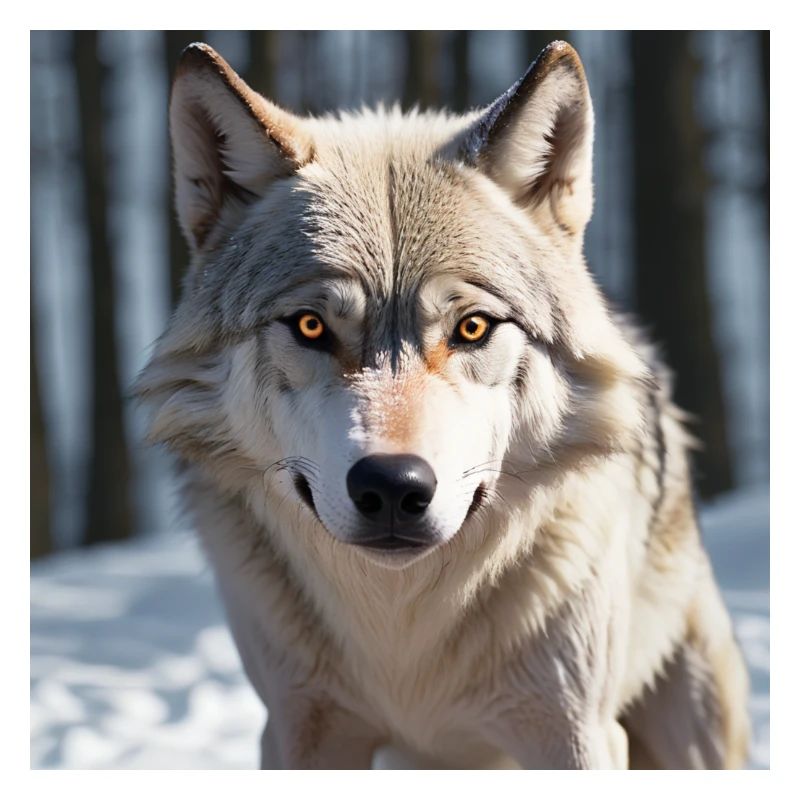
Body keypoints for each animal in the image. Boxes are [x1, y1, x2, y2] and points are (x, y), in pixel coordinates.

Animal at [137, 40, 750, 769]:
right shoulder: (299, 729)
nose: (392, 487)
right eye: (311, 327)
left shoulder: (575, 734)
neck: (403, 634)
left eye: (474, 327)